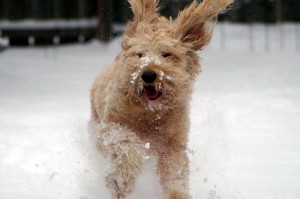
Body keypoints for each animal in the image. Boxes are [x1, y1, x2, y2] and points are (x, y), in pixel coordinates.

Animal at [89, 0, 234, 198]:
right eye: (140, 54)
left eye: (166, 54)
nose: (148, 74)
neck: (150, 114)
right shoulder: (110, 126)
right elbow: (125, 142)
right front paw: (121, 179)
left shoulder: (172, 145)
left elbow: (175, 173)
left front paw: (178, 193)